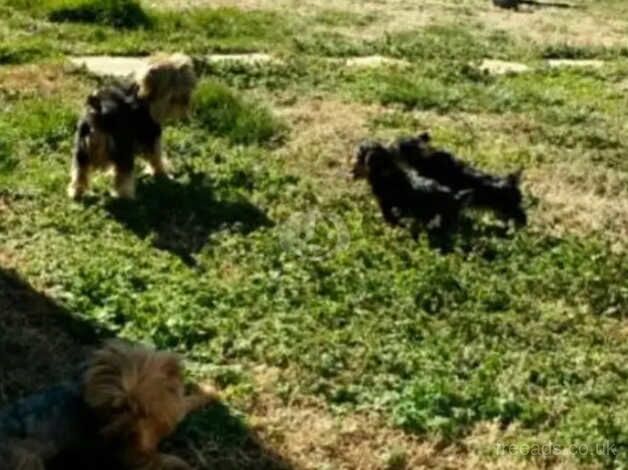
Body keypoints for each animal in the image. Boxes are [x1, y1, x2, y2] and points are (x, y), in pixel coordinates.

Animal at [68, 53, 197, 200]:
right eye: (180, 80)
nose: (188, 96)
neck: (141, 91)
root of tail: (99, 112)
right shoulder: (151, 134)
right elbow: (156, 156)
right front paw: (162, 173)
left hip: (81, 150)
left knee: (79, 172)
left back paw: (76, 192)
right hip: (122, 148)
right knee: (124, 176)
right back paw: (126, 196)